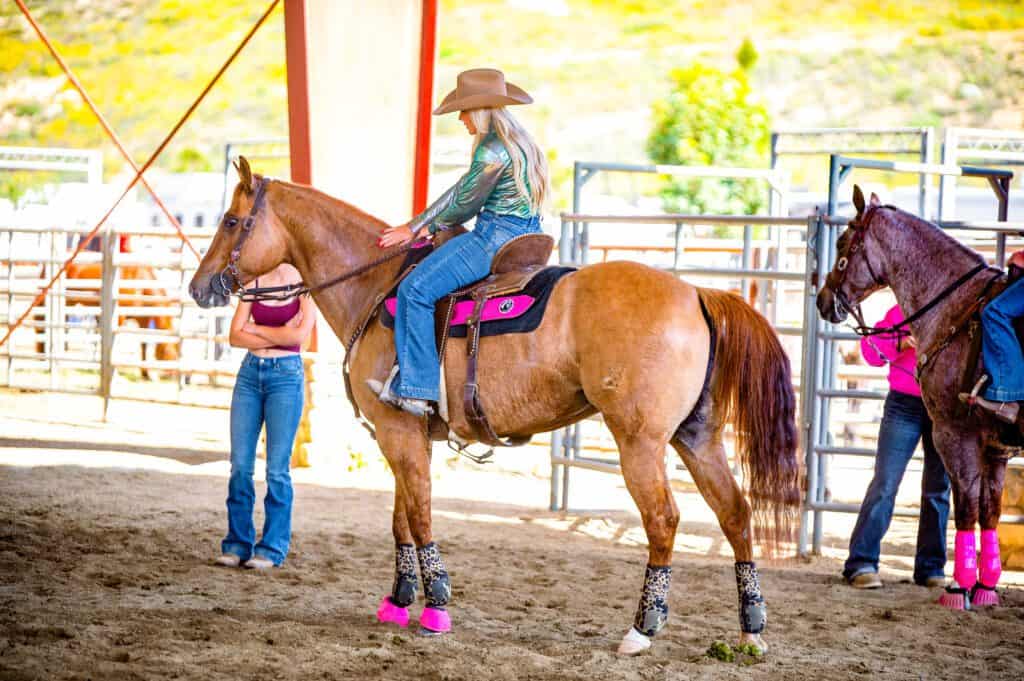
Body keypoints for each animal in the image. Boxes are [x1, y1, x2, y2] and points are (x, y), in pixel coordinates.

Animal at [189, 157, 800, 655]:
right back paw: (750, 630)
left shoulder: (395, 430)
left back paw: (642, 629)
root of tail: (695, 293)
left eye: (231, 221)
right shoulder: (409, 432)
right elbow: (402, 515)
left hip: (640, 441)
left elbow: (420, 513)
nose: (199, 287)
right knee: (735, 512)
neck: (379, 285)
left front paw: (436, 605)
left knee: (664, 520)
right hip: (696, 437)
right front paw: (398, 600)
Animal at [817, 185, 1018, 610]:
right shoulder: (997, 449)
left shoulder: (954, 435)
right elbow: (990, 509)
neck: (959, 305)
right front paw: (986, 587)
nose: (823, 300)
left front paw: (960, 588)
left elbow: (965, 505)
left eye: (843, 242)